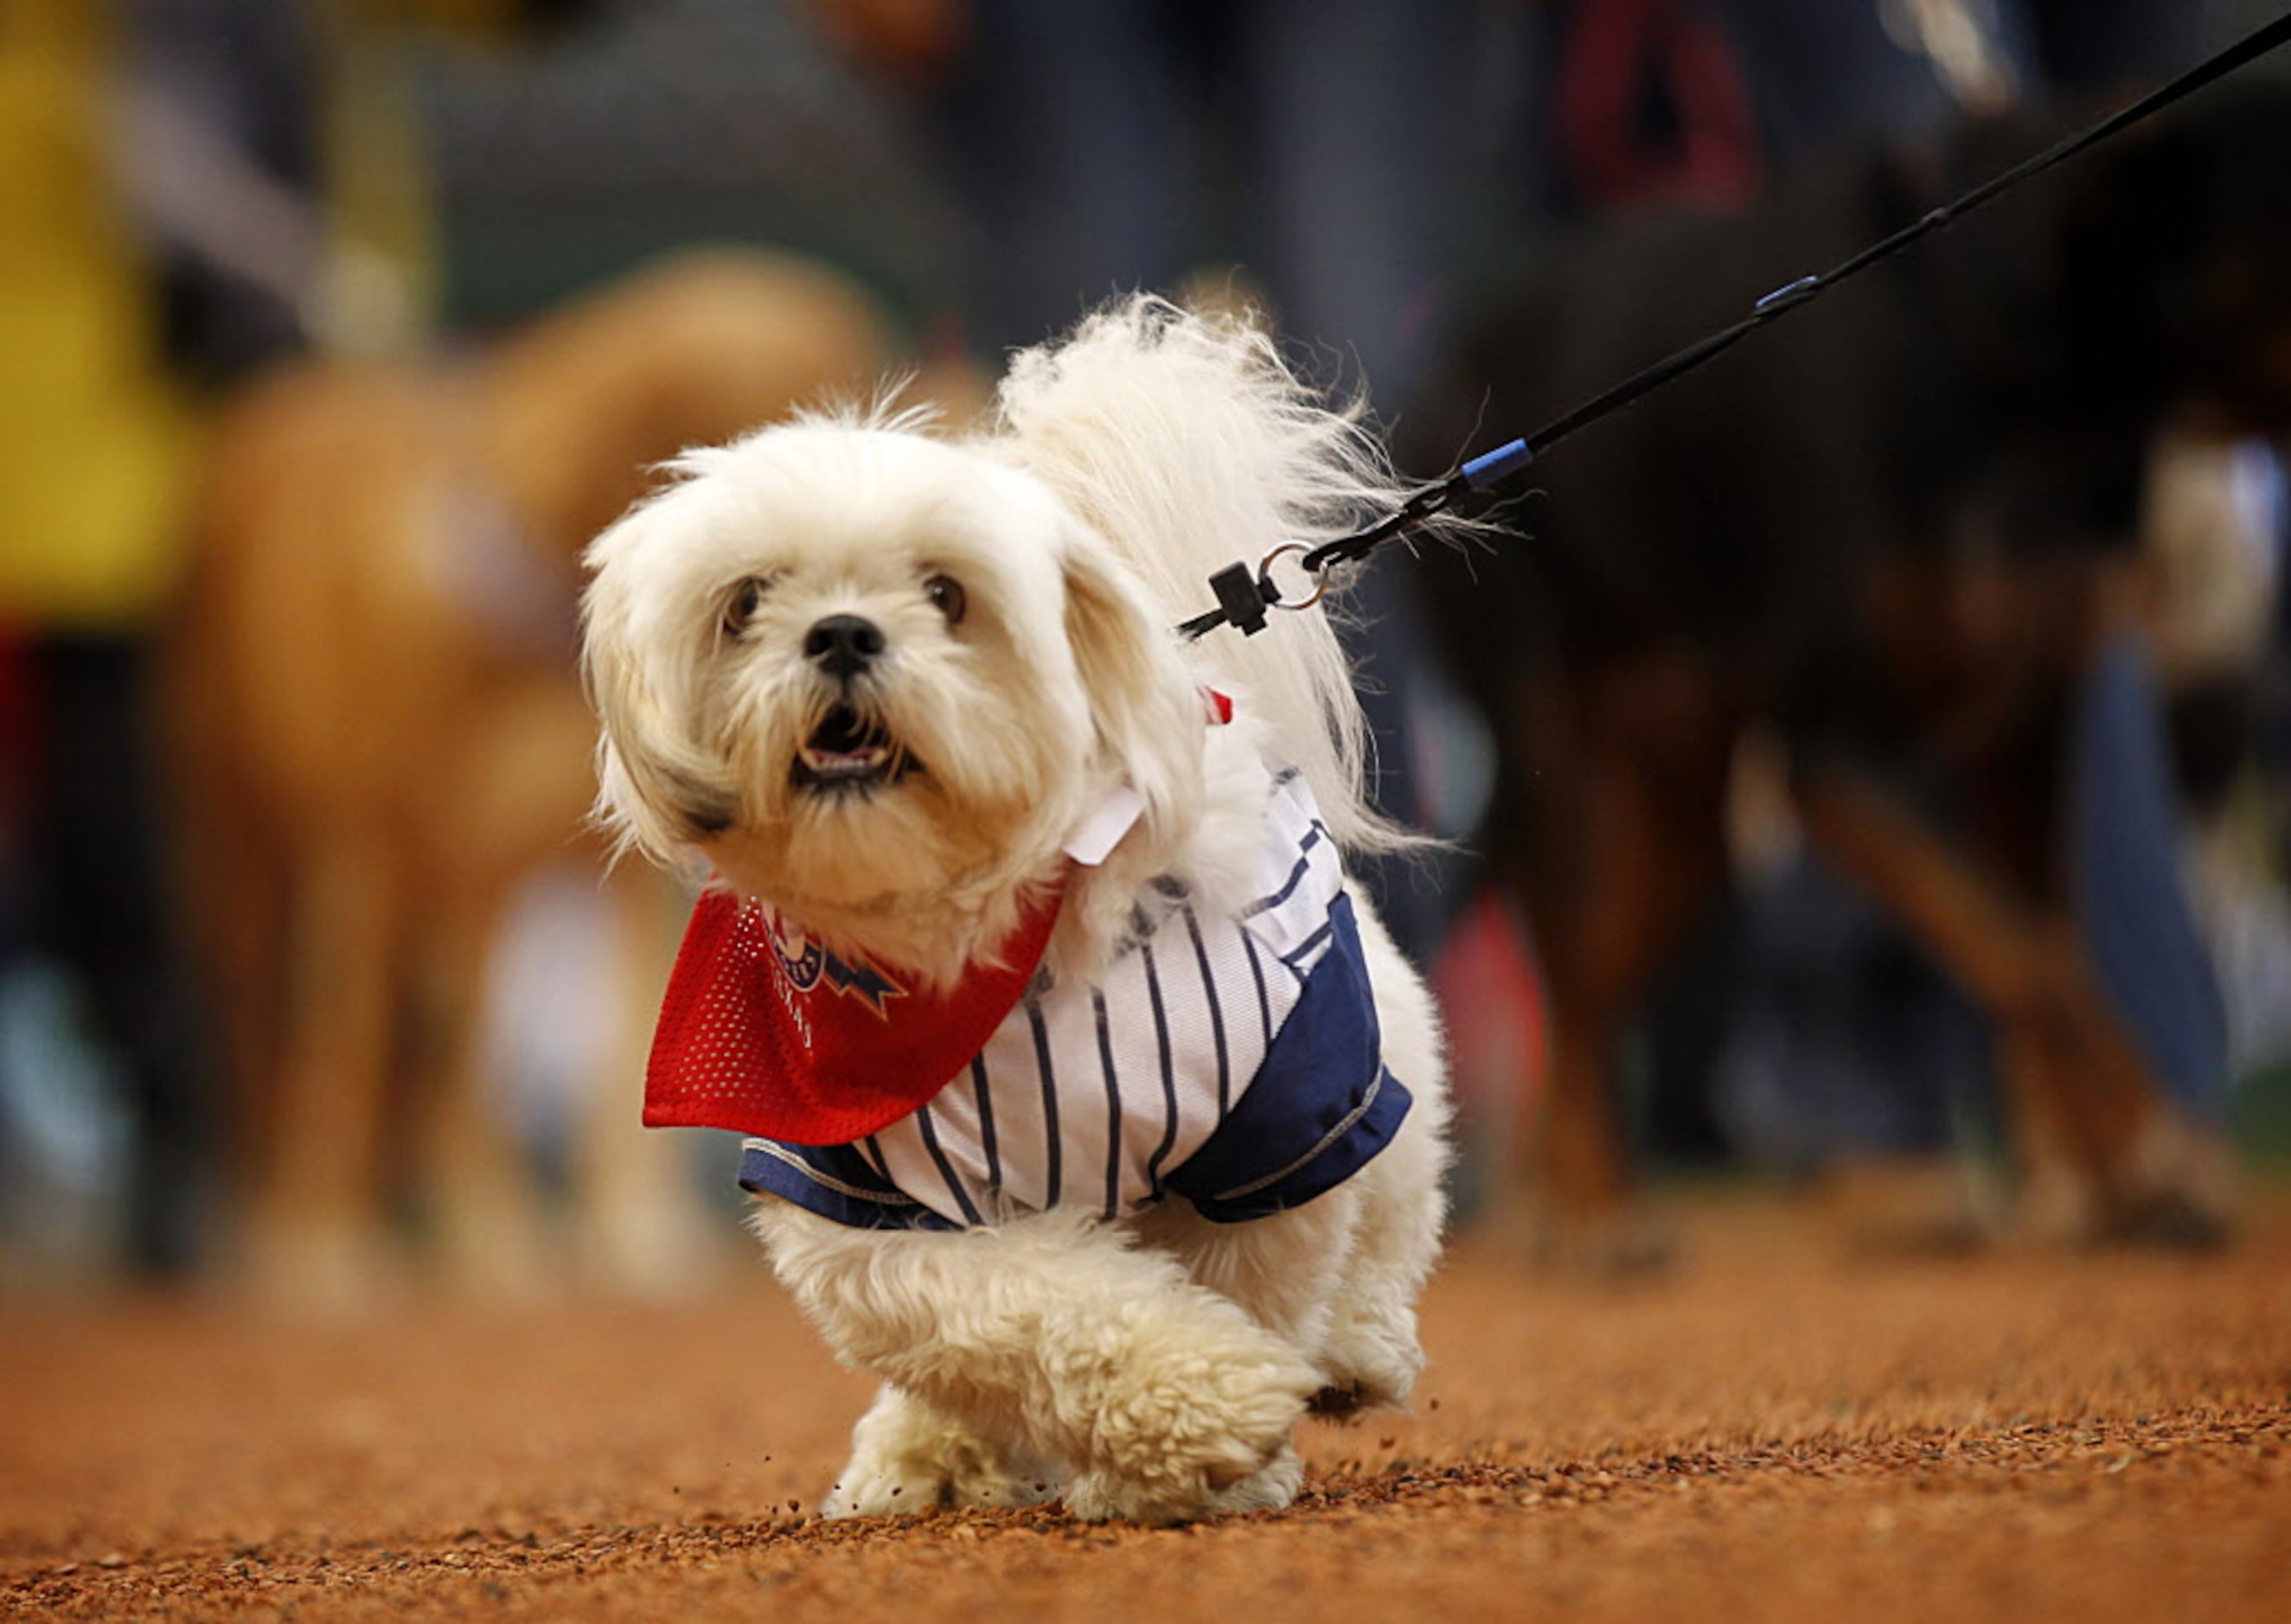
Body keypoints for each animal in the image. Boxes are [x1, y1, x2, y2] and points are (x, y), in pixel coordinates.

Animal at [171, 247, 912, 1301]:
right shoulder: (373, 854)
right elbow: (356, 1040)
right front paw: (323, 1245)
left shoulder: (622, 871)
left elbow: (605, 1049)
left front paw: (616, 1234)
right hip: (245, 839)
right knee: (269, 1026)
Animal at [581, 299, 1456, 1520]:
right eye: (746, 603)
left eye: (947, 594)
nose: (840, 631)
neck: (991, 958)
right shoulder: (870, 1203)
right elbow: (1029, 1314)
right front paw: (1206, 1411)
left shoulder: (1274, 1121)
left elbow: (1255, 1278)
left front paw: (1223, 1456)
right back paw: (922, 1455)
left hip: (1375, 1048)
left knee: (1391, 1213)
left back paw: (1355, 1355)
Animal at [1411, 79, 2291, 1255]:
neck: (1993, 352)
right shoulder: (1836, 759)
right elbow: (2030, 958)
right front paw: (2149, 1157)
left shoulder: (2026, 735)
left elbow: (2045, 946)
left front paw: (2100, 1187)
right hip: (1549, 727)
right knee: (1569, 962)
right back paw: (1593, 1215)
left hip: (1686, 811)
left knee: (1594, 973)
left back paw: (1574, 1202)